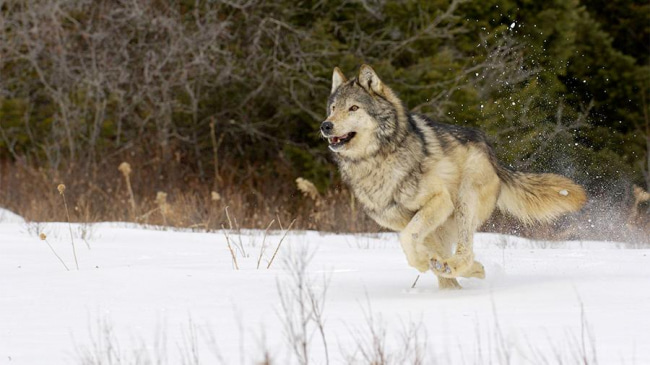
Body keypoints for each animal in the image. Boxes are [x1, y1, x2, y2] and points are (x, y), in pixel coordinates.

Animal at [322, 64, 584, 288]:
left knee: (464, 251)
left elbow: (407, 238)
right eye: (333, 109)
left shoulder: (439, 200)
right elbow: (410, 239)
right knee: (451, 259)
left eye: (353, 108)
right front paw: (425, 261)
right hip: (442, 224)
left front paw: (421, 262)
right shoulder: (400, 219)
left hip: (464, 202)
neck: (375, 162)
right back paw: (458, 275)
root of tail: (492, 155)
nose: (326, 125)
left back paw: (455, 268)